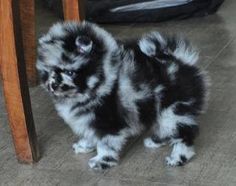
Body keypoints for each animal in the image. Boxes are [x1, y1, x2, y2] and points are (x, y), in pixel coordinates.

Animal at [36, 21, 208, 170]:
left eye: (70, 72)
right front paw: (85, 145)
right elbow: (91, 134)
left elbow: (105, 143)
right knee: (167, 129)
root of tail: (181, 62)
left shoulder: (108, 122)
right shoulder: (89, 120)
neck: (101, 82)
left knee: (183, 134)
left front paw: (102, 161)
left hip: (173, 109)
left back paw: (178, 157)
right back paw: (155, 141)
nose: (53, 85)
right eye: (49, 71)